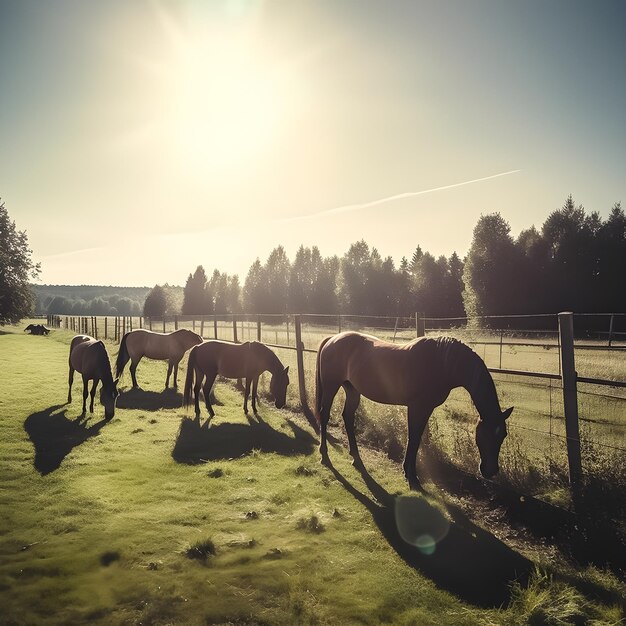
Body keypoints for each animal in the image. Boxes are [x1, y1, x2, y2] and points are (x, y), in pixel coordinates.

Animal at [314, 332, 510, 488]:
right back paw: (324, 455)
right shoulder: (417, 407)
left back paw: (356, 457)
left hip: (352, 390)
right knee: (324, 415)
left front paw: (409, 472)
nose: (490, 471)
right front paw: (412, 476)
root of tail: (333, 339)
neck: (442, 363)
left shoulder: (426, 408)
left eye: (503, 435)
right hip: (331, 387)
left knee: (347, 417)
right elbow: (414, 437)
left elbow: (417, 437)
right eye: (484, 435)